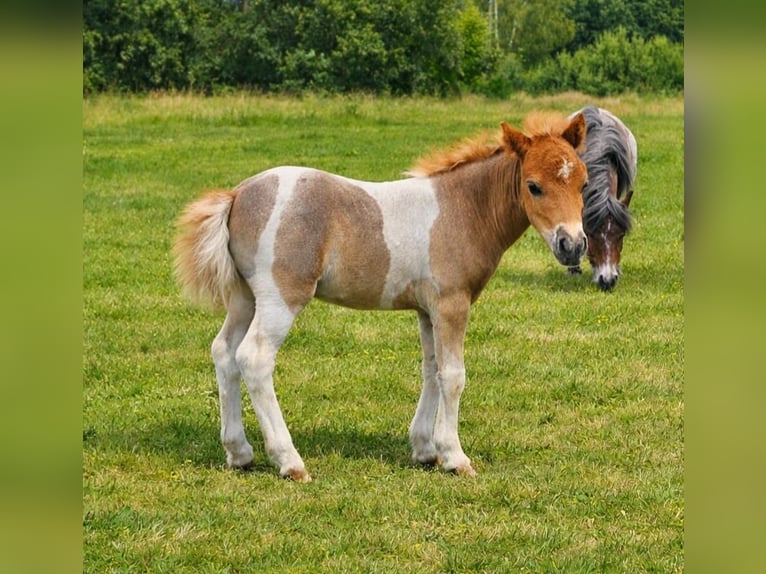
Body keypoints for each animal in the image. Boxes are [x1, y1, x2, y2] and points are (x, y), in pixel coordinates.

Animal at [173, 111, 589, 482]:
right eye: (533, 185)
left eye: (583, 184)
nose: (572, 245)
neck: (463, 209)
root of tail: (237, 195)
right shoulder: (452, 303)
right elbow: (453, 375)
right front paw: (455, 457)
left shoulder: (427, 310)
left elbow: (431, 371)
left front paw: (425, 450)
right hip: (281, 297)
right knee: (254, 357)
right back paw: (290, 462)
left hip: (244, 297)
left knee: (224, 351)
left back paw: (239, 453)